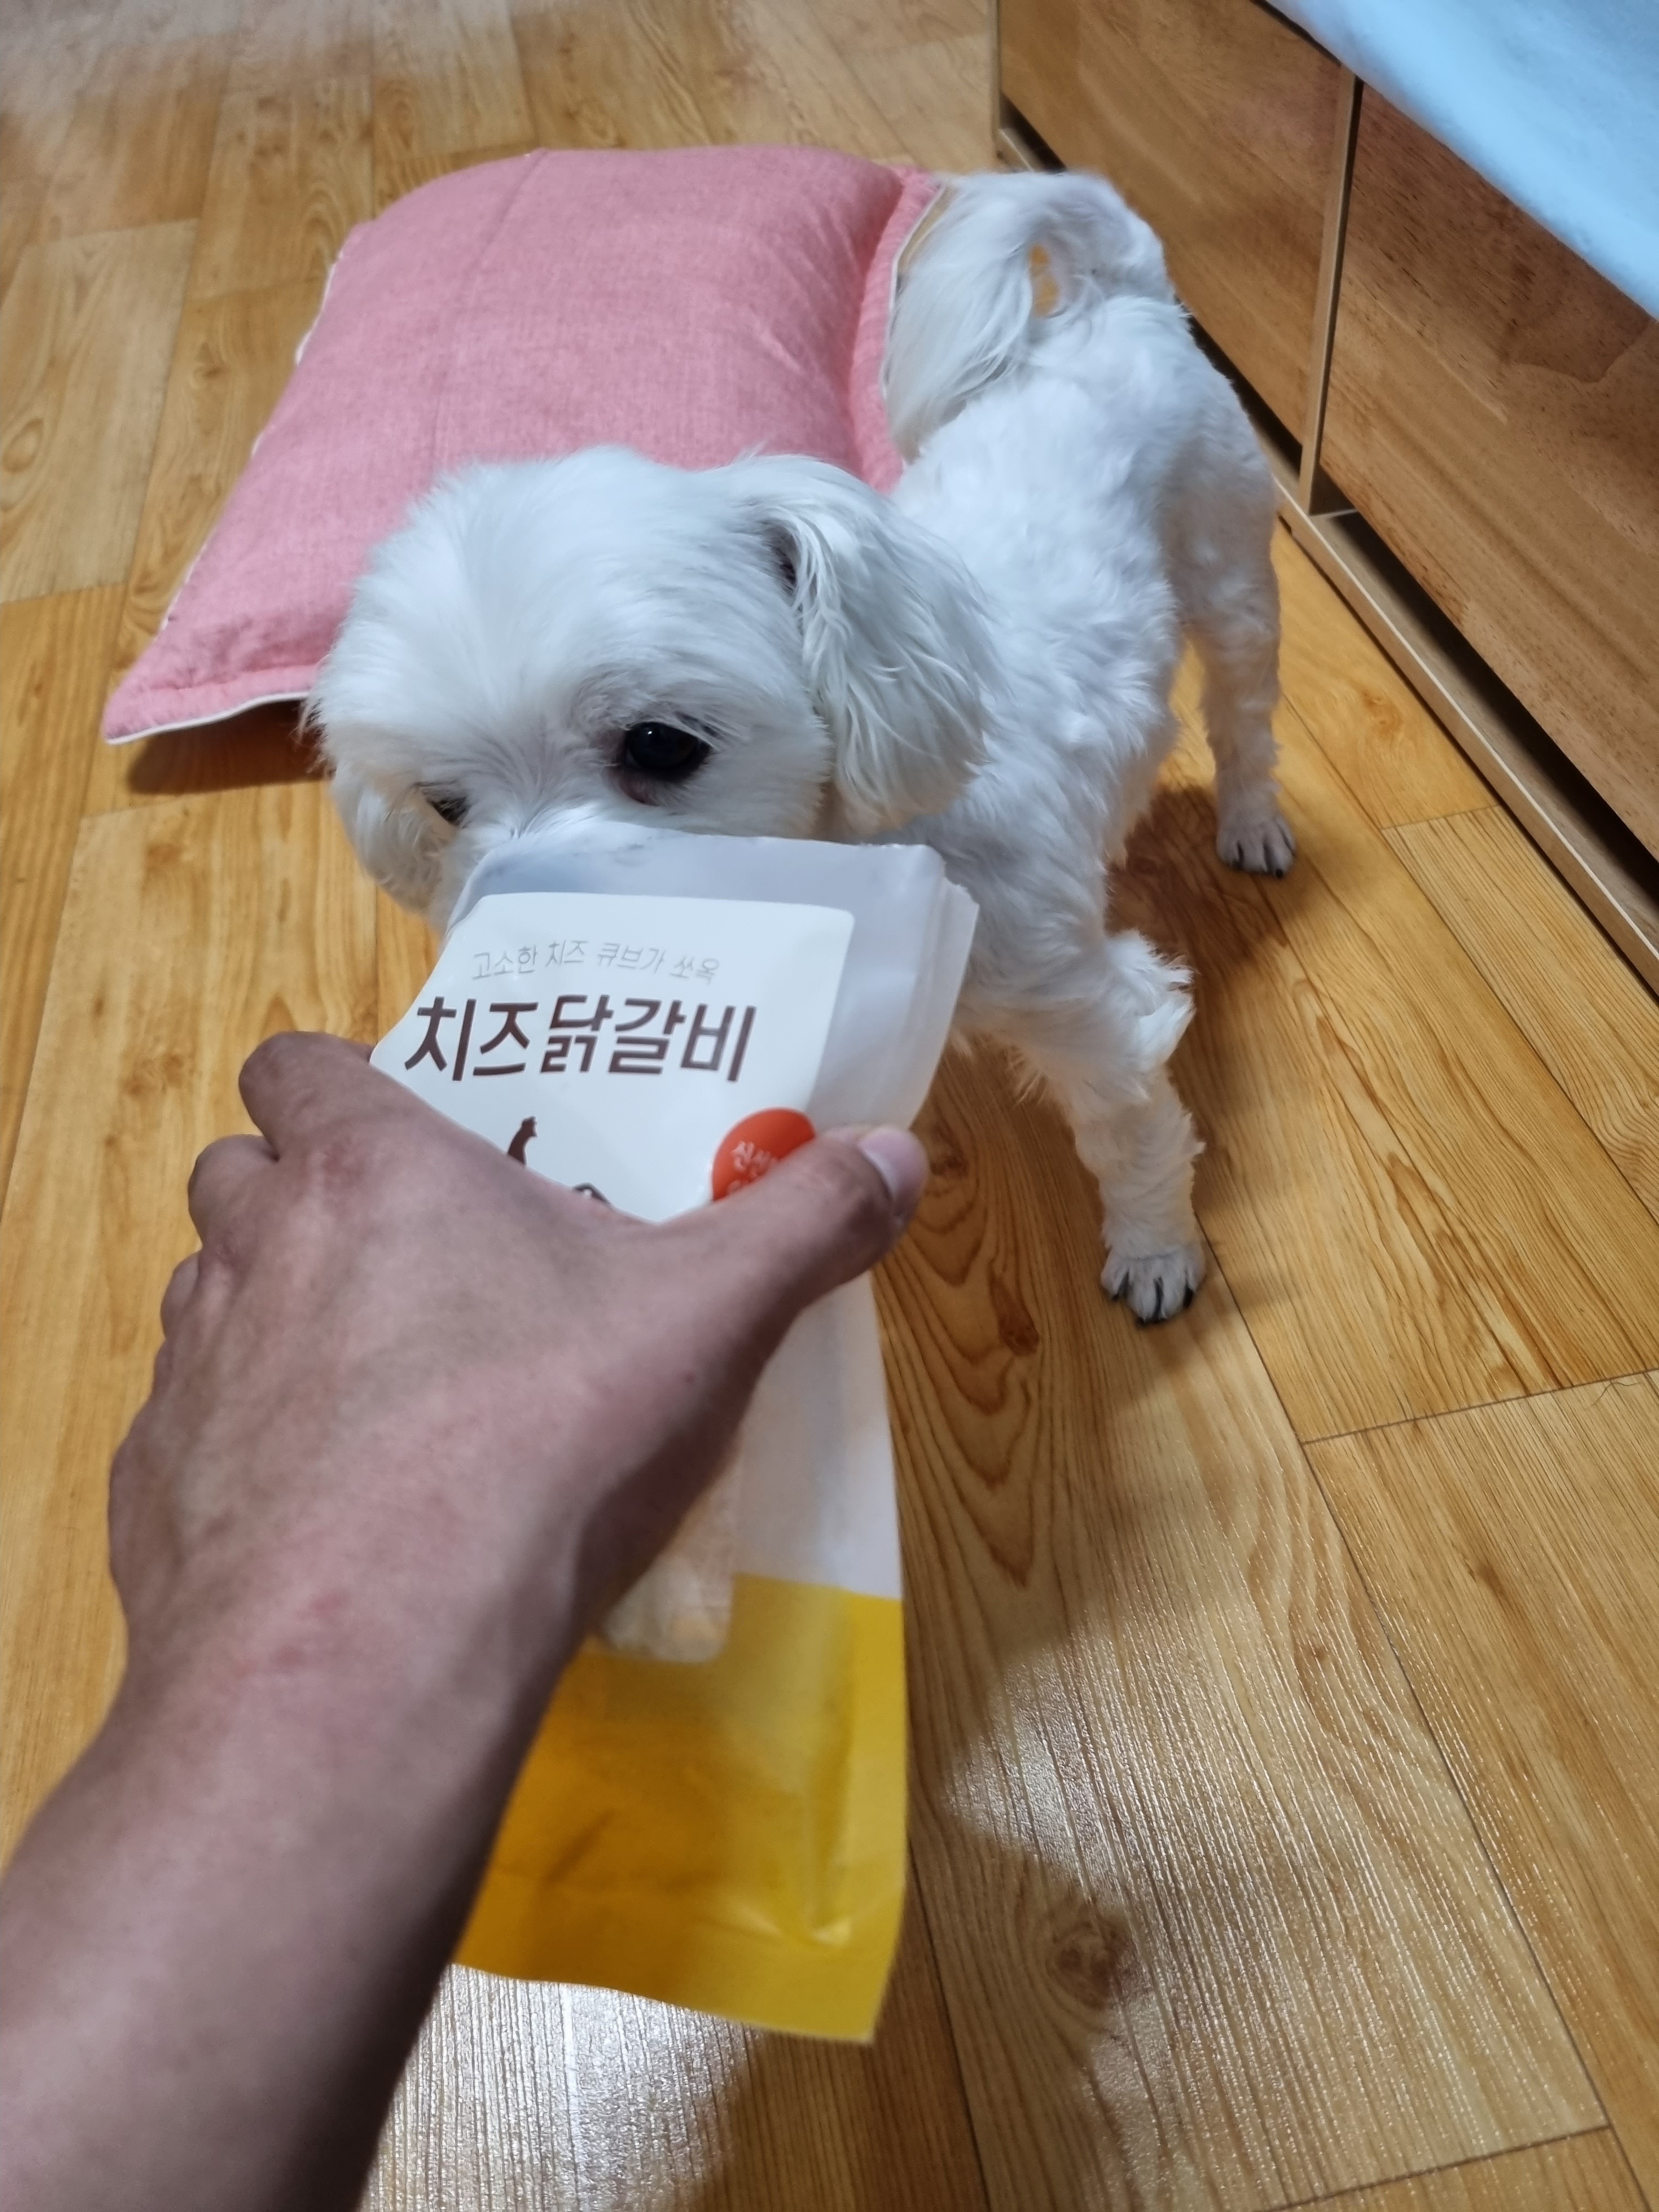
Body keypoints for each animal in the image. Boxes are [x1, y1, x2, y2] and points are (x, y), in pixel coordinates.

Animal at [312, 167, 1293, 1327]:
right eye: (444, 804)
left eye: (661, 746)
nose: (532, 919)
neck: (842, 853)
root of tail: (1120, 297)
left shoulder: (1078, 999)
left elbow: (1127, 1128)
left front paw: (1154, 1252)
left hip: (1230, 569)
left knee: (1242, 720)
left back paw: (1252, 826)